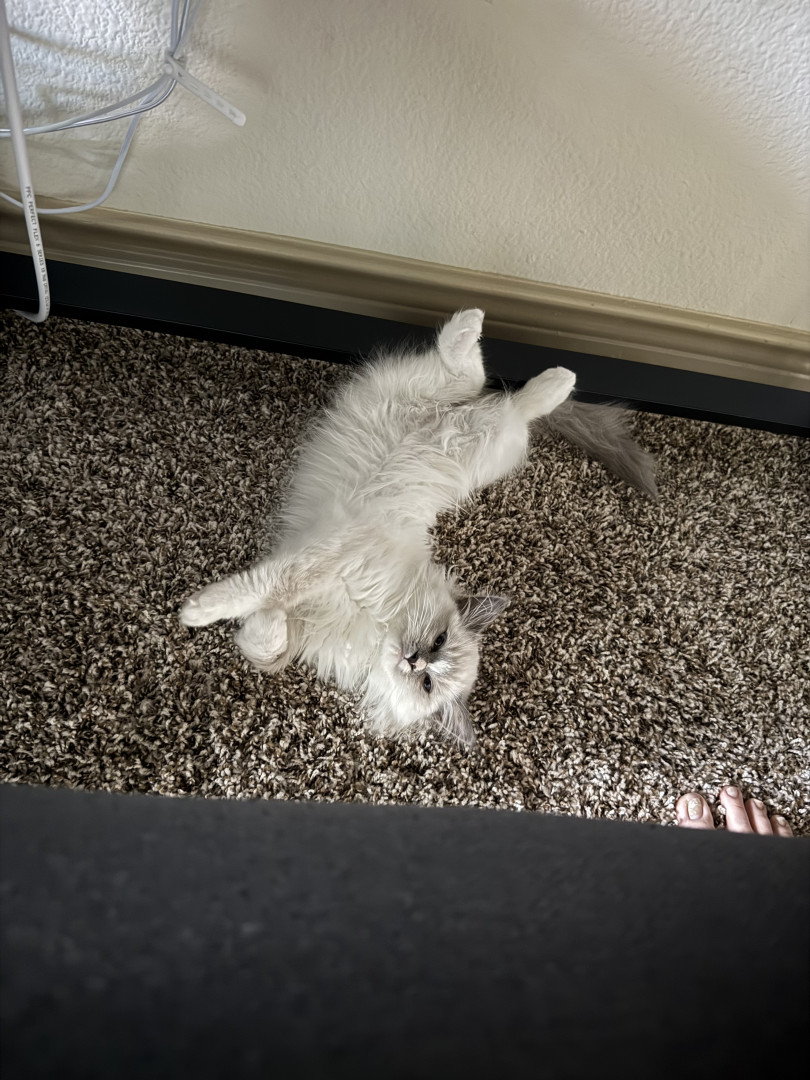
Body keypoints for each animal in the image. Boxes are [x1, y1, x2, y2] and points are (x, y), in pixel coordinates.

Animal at [179, 308, 655, 745]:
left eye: (427, 682)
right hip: (432, 396)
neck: (374, 622)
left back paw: (545, 375)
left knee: (499, 393)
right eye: (439, 641)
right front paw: (195, 612)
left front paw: (247, 618)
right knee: (478, 376)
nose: (415, 661)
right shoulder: (328, 557)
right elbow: (257, 592)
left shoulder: (311, 599)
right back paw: (526, 355)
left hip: (489, 448)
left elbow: (267, 639)